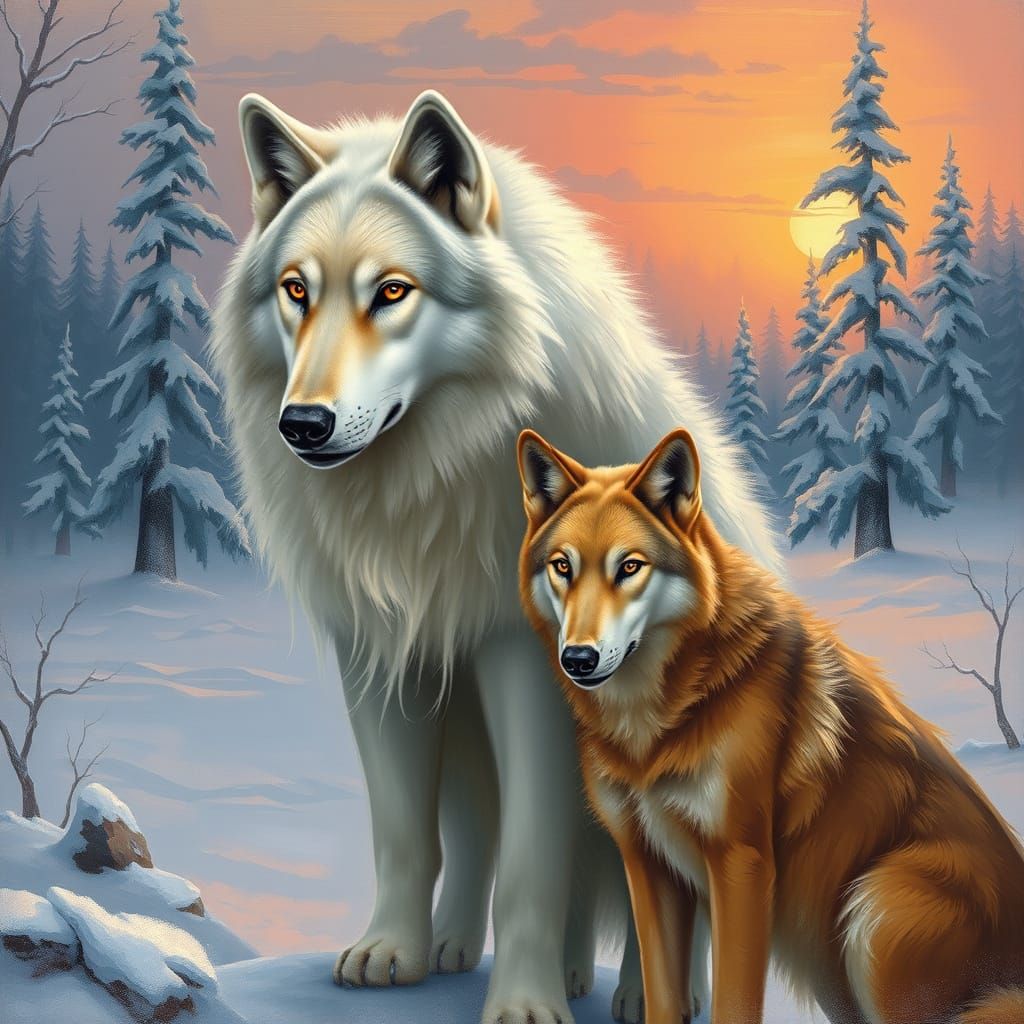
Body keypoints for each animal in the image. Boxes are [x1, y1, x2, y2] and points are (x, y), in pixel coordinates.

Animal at [208, 88, 779, 1024]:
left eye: (391, 292)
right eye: (297, 290)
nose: (304, 426)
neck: (426, 487)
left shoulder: (531, 664)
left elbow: (534, 865)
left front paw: (524, 1002)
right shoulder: (383, 656)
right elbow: (406, 833)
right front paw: (393, 951)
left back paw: (644, 993)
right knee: (483, 841)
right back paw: (473, 951)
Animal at [517, 427, 1024, 1024]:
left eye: (630, 567)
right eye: (562, 567)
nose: (579, 659)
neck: (657, 719)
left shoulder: (741, 864)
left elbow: (733, 1003)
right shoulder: (648, 864)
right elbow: (661, 997)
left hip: (873, 907)